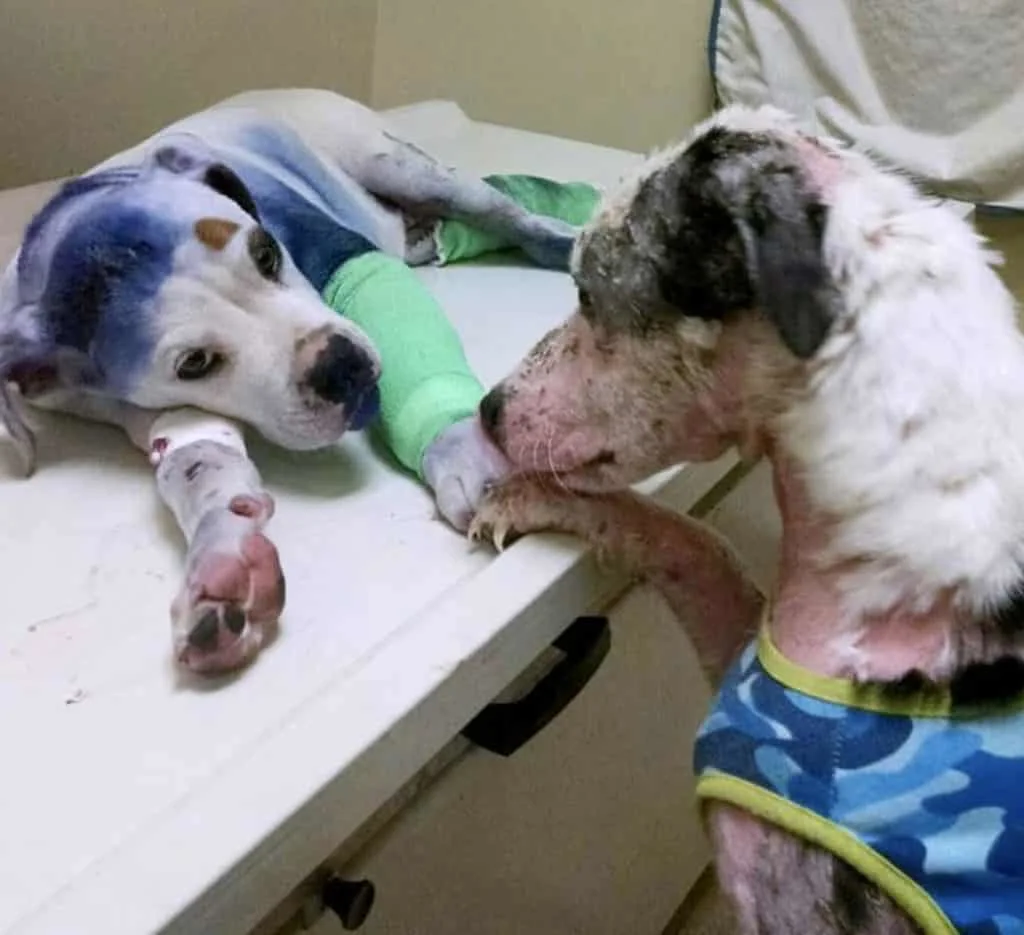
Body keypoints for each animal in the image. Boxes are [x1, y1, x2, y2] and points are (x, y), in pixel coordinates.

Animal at [0, 88, 573, 674]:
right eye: (194, 364)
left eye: (266, 253)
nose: (339, 365)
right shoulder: (162, 411)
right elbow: (198, 465)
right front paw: (223, 557)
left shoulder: (341, 252)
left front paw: (459, 446)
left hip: (404, 168)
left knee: (505, 214)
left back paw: (569, 239)